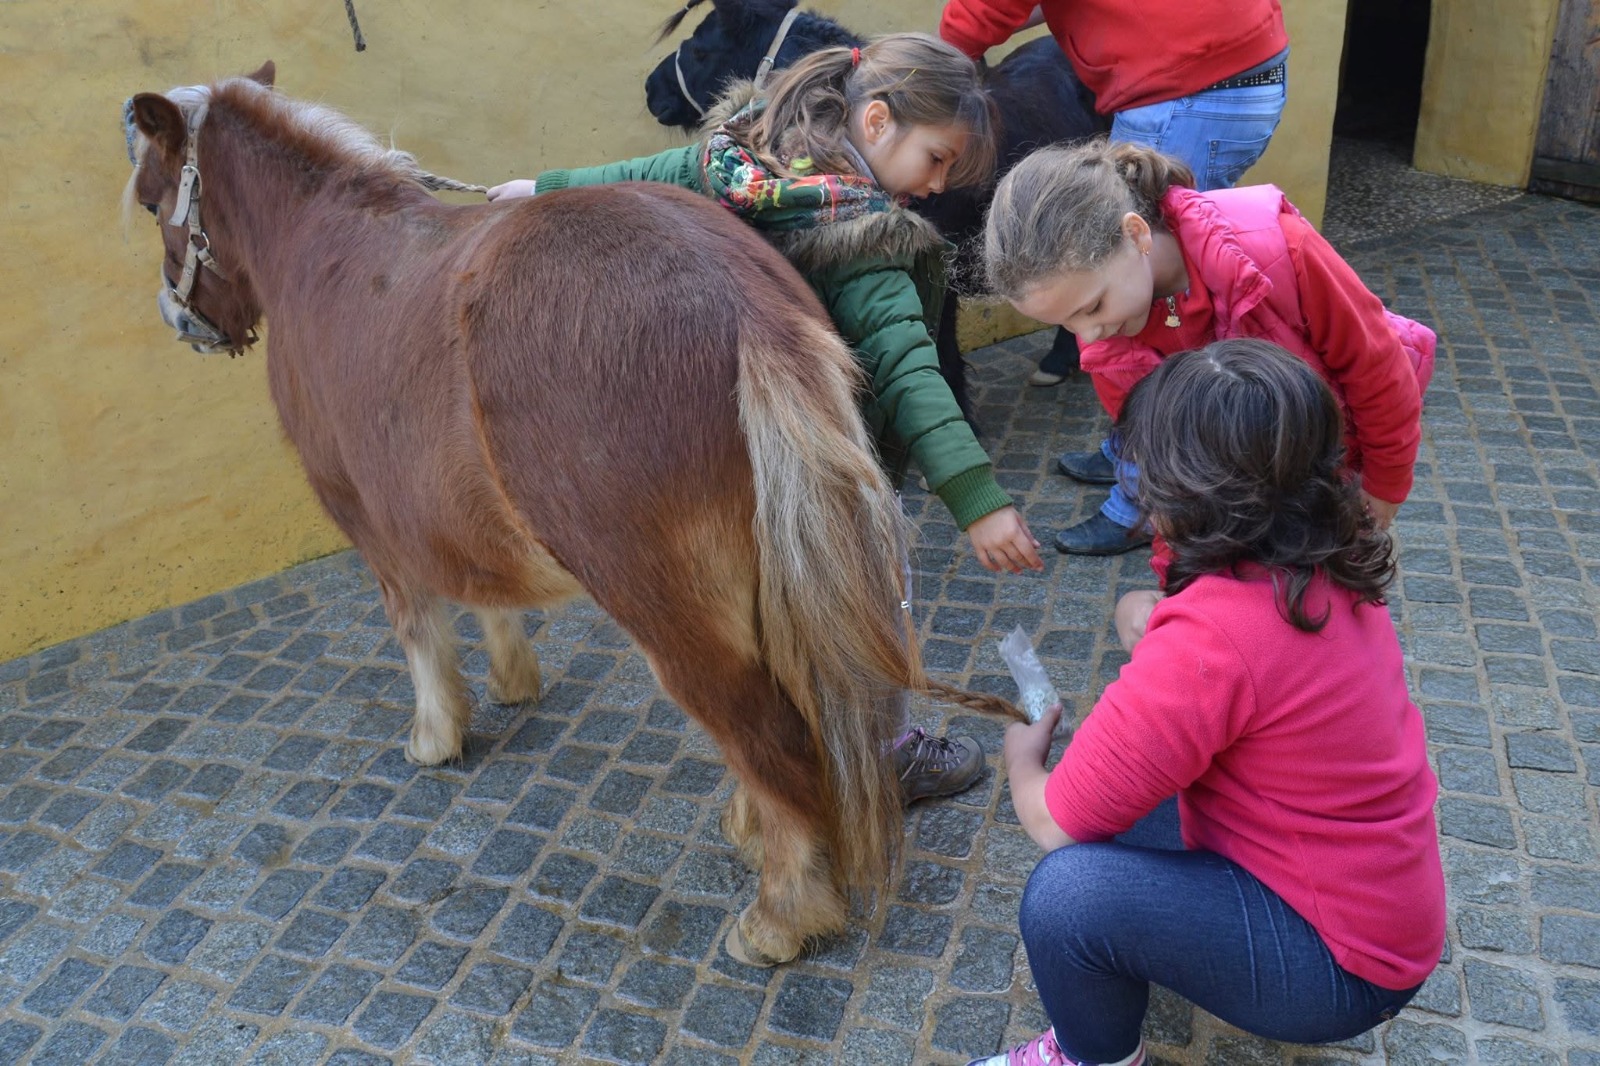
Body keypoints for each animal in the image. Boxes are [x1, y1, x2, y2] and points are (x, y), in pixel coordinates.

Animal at [123, 63, 944, 966]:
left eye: (151, 198)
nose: (180, 318)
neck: (319, 242)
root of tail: (741, 302)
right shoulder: (446, 513)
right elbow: (484, 590)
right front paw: (513, 680)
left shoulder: (366, 515)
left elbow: (417, 626)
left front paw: (436, 732)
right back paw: (760, 831)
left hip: (663, 603)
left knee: (764, 728)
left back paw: (783, 910)